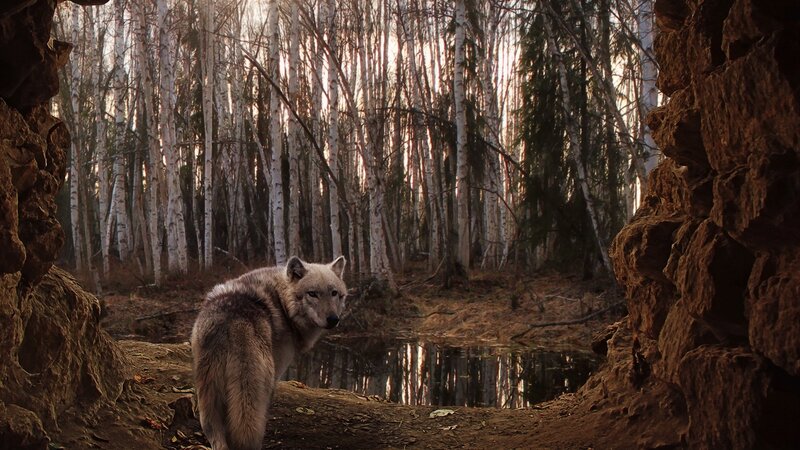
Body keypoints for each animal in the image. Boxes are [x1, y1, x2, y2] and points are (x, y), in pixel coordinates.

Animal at [191, 256, 347, 450]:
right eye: (312, 293)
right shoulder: (276, 373)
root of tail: (231, 320)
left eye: (334, 293)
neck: (282, 303)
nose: (333, 319)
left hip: (208, 397)